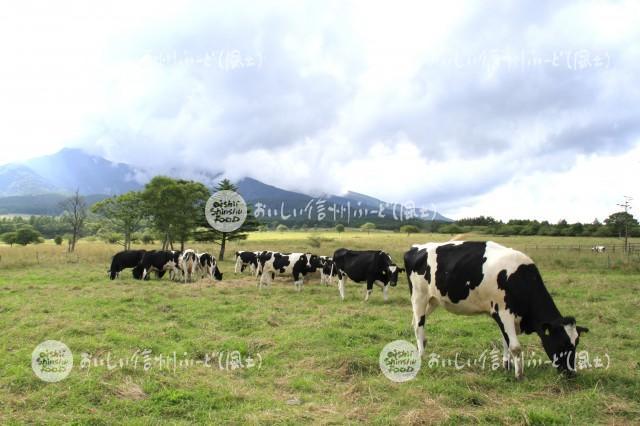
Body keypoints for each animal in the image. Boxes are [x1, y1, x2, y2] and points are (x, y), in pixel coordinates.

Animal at [404, 240, 592, 380]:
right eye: (562, 343)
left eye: (576, 343)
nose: (571, 373)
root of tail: (415, 248)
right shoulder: (503, 312)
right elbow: (515, 346)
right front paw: (519, 375)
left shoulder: (505, 316)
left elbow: (505, 341)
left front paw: (506, 365)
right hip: (419, 297)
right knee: (419, 325)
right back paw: (422, 355)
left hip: (433, 300)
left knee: (414, 322)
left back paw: (421, 347)